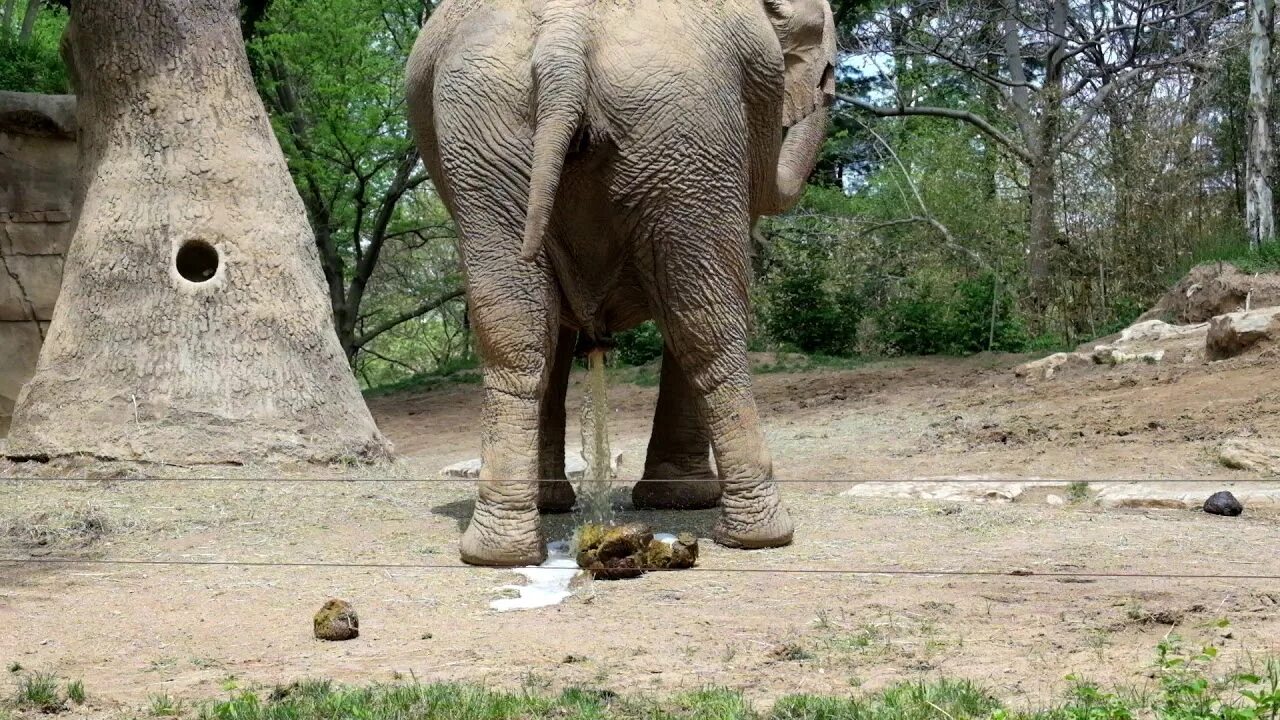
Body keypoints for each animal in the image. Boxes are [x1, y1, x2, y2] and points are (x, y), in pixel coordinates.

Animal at [404, 0, 834, 563]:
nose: (828, 83)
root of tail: (565, 37)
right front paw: (683, 500)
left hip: (487, 139)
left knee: (517, 332)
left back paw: (499, 552)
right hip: (684, 131)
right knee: (707, 326)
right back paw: (761, 536)